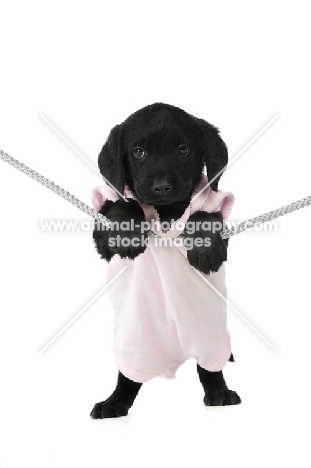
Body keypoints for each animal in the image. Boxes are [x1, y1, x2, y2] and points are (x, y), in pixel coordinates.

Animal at [90, 103, 241, 420]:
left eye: (183, 149)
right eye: (138, 152)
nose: (161, 187)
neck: (166, 211)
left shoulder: (220, 223)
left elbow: (205, 215)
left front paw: (204, 247)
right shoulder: (102, 239)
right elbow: (121, 204)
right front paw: (128, 231)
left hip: (210, 339)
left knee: (209, 369)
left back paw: (219, 392)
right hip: (136, 346)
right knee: (128, 377)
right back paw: (115, 402)